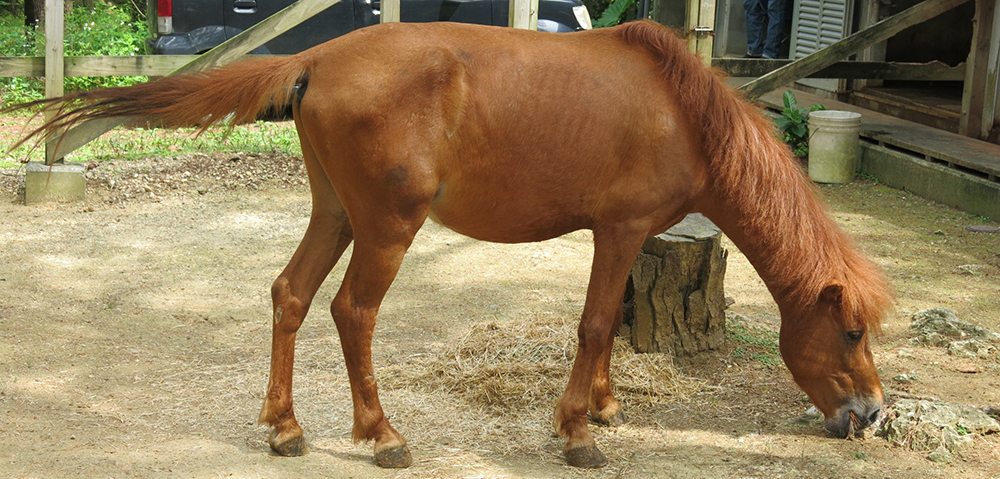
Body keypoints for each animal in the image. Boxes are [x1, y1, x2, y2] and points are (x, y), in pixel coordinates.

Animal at [4, 20, 893, 469]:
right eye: (850, 332)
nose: (871, 415)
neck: (681, 108)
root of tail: (317, 56)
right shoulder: (621, 230)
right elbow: (593, 327)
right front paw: (577, 431)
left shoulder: (624, 238)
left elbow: (604, 329)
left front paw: (603, 407)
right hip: (386, 230)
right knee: (352, 311)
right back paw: (382, 434)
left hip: (334, 214)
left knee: (291, 295)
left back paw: (286, 428)